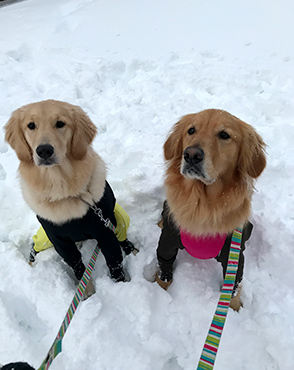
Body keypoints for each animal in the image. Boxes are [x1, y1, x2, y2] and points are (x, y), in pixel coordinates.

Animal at [4, 99, 131, 294]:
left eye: (60, 123)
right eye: (31, 125)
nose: (44, 150)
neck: (62, 189)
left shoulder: (105, 231)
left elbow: (115, 263)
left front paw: (121, 287)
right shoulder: (59, 241)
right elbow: (78, 266)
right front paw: (87, 294)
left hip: (119, 219)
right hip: (43, 238)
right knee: (34, 248)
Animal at [156, 108, 266, 310]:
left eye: (224, 135)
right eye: (191, 130)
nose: (191, 155)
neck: (202, 203)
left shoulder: (234, 259)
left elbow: (233, 289)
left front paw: (235, 310)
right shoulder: (167, 244)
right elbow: (164, 273)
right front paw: (159, 293)